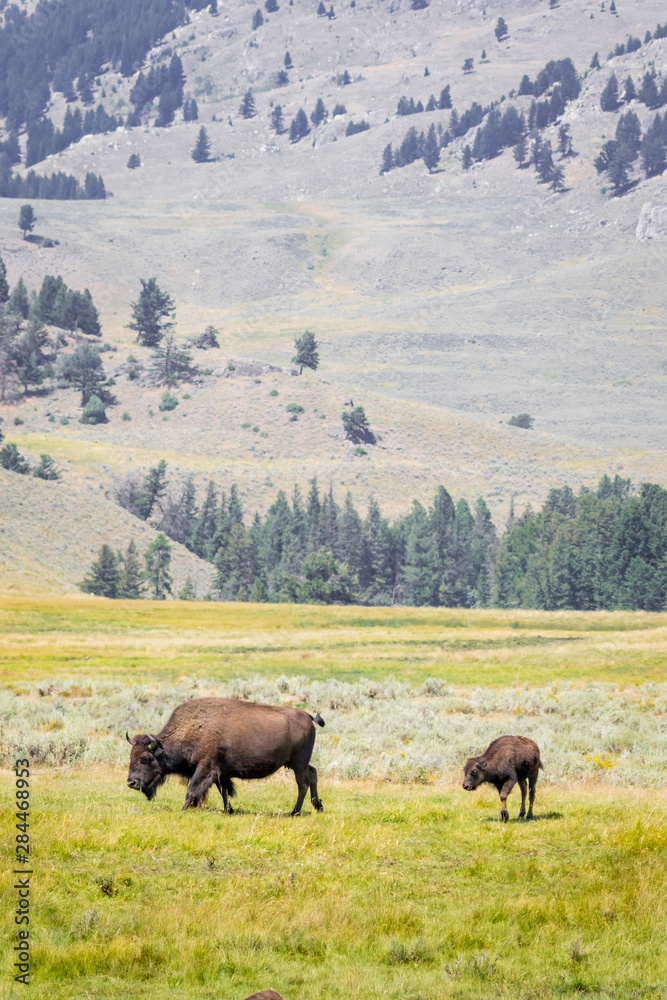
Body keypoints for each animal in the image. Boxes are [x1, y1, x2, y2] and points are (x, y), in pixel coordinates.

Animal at [127, 700, 326, 816]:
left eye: (145, 758)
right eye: (131, 757)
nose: (131, 782)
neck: (194, 728)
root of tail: (307, 715)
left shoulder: (204, 768)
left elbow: (192, 790)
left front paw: (183, 810)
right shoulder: (219, 771)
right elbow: (223, 791)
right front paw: (228, 810)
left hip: (298, 763)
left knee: (303, 784)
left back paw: (295, 812)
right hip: (294, 763)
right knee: (313, 774)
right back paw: (318, 806)